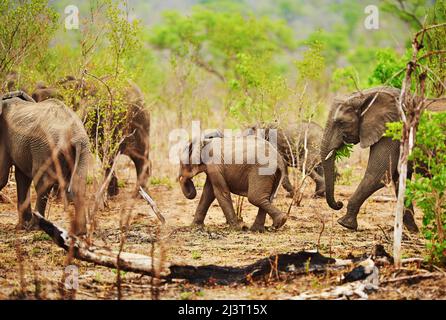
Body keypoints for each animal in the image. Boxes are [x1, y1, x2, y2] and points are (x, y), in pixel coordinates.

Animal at [0, 90, 90, 235]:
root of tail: (74, 134)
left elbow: (2, 176)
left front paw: (23, 227)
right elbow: (22, 178)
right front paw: (20, 227)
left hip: (45, 148)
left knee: (42, 185)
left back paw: (33, 227)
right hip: (83, 149)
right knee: (79, 184)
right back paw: (80, 232)